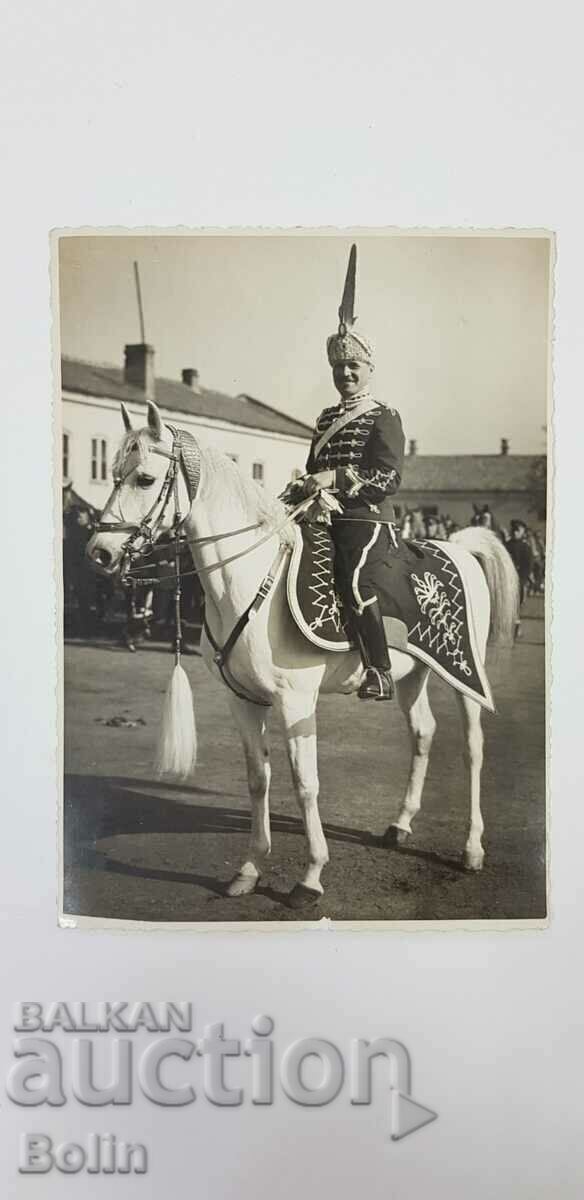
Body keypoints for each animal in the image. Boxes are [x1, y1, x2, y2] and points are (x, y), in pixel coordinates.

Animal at [88, 403, 520, 907]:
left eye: (144, 478)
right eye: (112, 474)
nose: (98, 552)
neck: (247, 577)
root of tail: (460, 549)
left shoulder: (296, 702)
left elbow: (305, 784)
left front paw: (311, 876)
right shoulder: (243, 700)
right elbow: (258, 778)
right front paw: (250, 868)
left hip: (465, 673)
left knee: (473, 748)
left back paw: (472, 847)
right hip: (413, 673)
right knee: (423, 733)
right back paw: (400, 824)